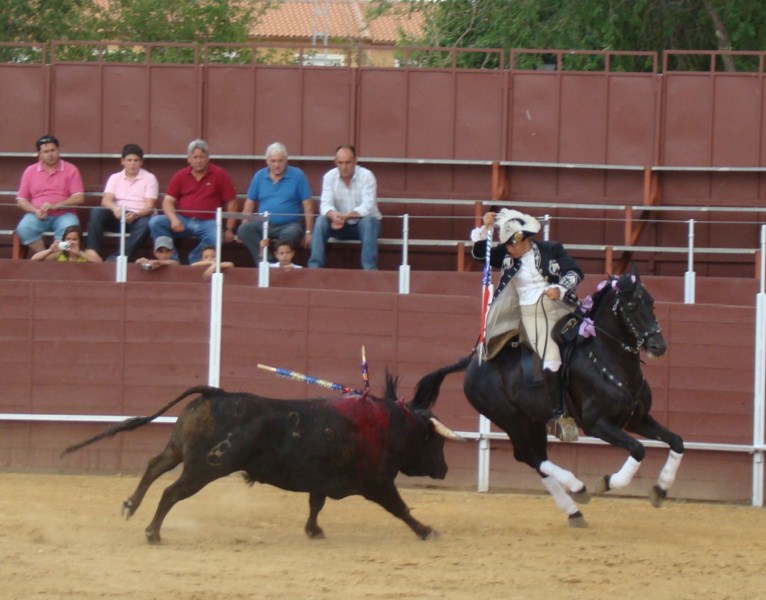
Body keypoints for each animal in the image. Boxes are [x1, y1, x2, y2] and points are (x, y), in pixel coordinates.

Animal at [61, 378, 462, 540]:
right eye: (436, 445)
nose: (444, 469)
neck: (388, 426)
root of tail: (217, 393)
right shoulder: (378, 484)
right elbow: (402, 509)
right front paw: (427, 531)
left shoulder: (322, 481)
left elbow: (315, 505)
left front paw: (313, 531)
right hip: (204, 469)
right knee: (171, 492)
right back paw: (152, 532)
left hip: (178, 451)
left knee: (153, 467)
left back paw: (131, 505)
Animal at [416, 270, 688, 528]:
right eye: (631, 306)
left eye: (652, 303)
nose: (659, 346)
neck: (607, 360)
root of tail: (474, 362)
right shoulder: (597, 424)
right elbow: (638, 448)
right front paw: (607, 482)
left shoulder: (636, 419)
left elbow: (677, 441)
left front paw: (660, 489)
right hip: (510, 419)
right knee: (531, 457)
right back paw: (578, 488)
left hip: (533, 421)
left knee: (536, 459)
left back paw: (574, 511)